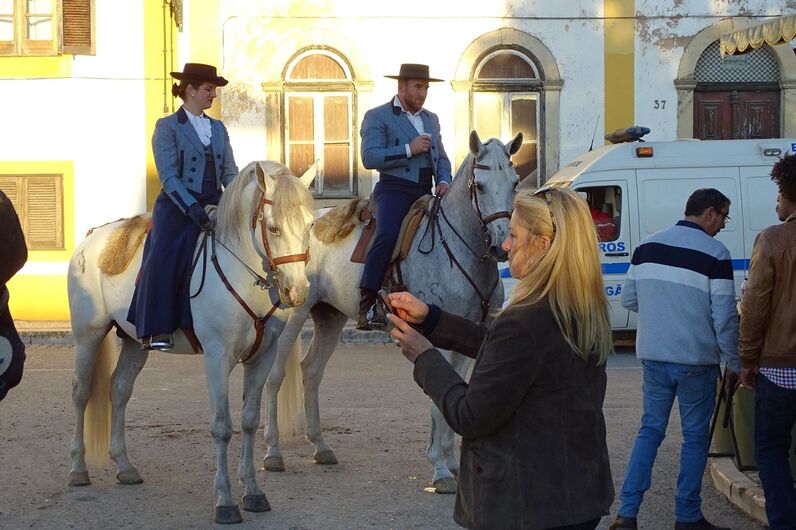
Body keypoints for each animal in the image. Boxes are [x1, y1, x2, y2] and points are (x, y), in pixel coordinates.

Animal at [67, 160, 316, 524]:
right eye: (273, 228)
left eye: (310, 225)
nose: (296, 291)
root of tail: (93, 237)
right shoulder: (217, 357)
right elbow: (222, 427)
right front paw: (225, 500)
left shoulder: (262, 358)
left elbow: (249, 422)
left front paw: (253, 492)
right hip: (89, 335)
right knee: (82, 393)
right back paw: (77, 469)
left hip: (133, 343)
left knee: (119, 389)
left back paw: (125, 467)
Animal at [263, 131, 522, 493]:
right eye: (481, 186)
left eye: (515, 182)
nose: (501, 245)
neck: (458, 251)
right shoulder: (438, 341)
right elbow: (436, 404)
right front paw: (439, 469)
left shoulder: (467, 338)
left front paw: (452, 462)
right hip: (292, 320)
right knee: (274, 377)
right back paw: (273, 452)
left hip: (330, 317)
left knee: (311, 370)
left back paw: (321, 446)